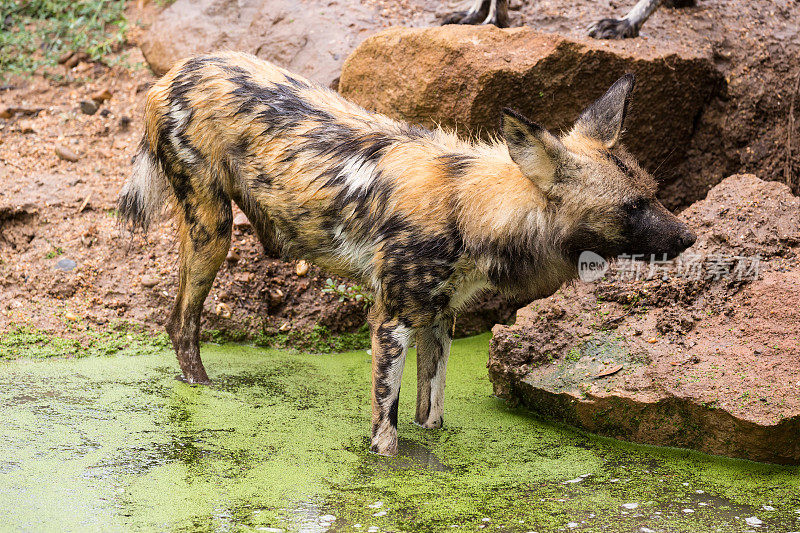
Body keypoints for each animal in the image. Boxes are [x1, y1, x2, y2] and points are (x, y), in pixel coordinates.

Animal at [117, 52, 692, 456]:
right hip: (212, 230)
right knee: (181, 322)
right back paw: (202, 388)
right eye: (632, 207)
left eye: (653, 193)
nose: (687, 237)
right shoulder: (391, 322)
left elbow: (430, 413)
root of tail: (175, 73)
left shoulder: (439, 320)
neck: (472, 207)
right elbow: (385, 434)